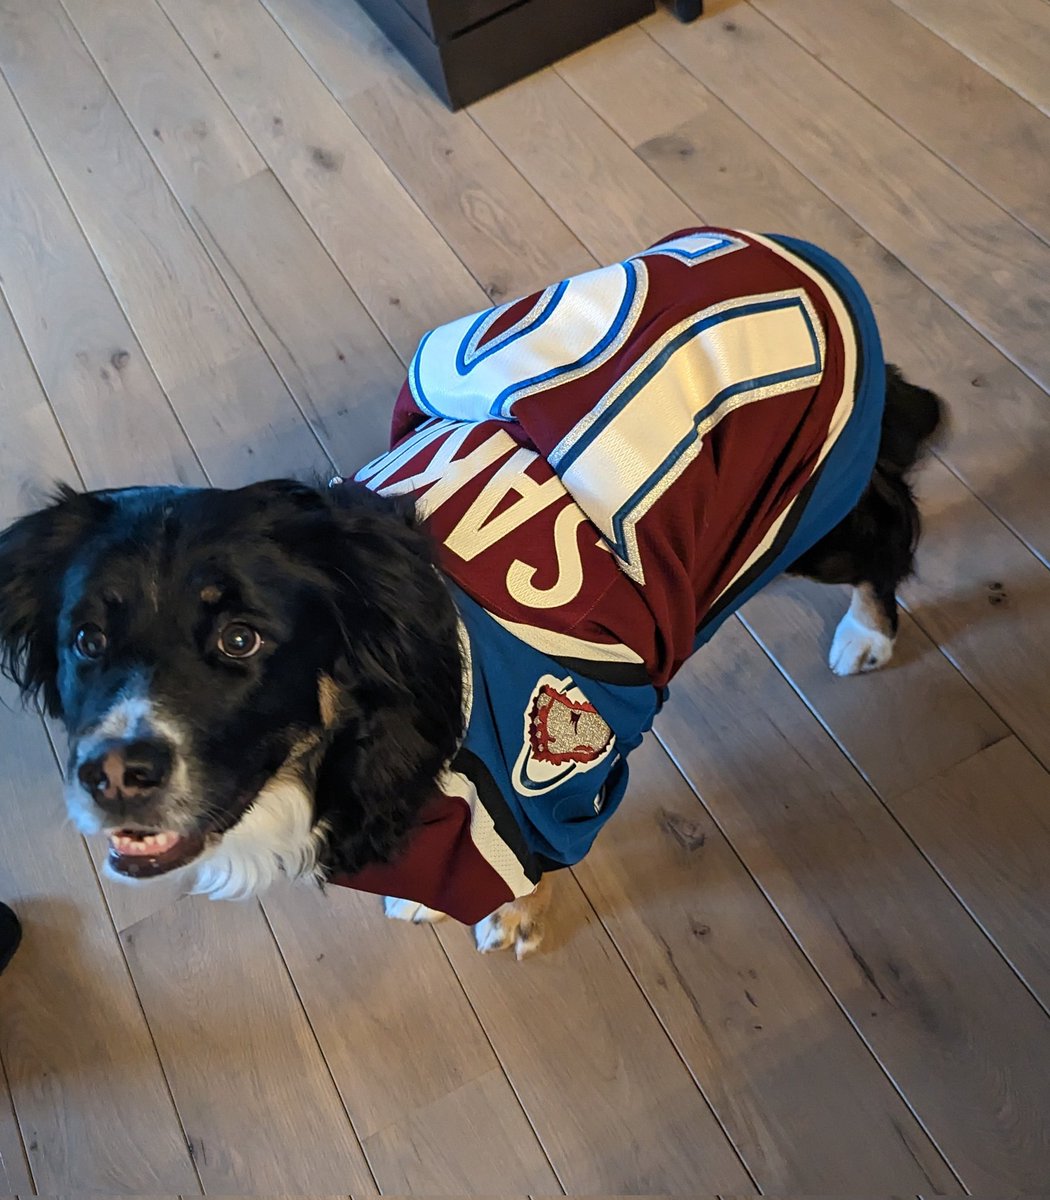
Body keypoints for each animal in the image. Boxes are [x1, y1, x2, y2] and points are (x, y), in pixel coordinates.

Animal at [0, 226, 945, 955]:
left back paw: (869, 634)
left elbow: (533, 864)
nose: (111, 774)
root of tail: (804, 257)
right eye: (84, 641)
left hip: (807, 514)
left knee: (890, 523)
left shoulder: (558, 785)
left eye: (241, 638)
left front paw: (517, 917)